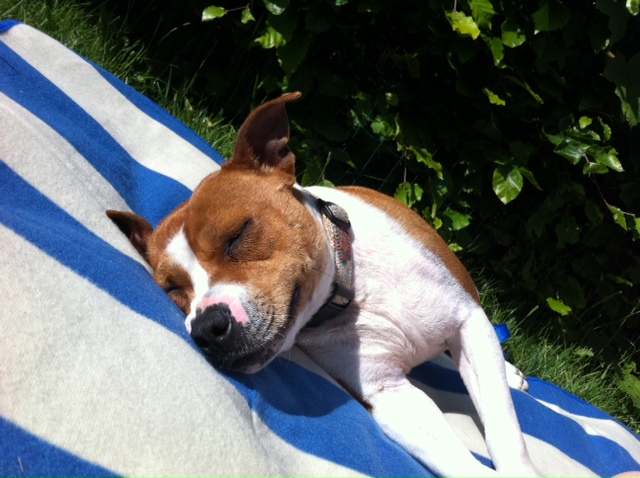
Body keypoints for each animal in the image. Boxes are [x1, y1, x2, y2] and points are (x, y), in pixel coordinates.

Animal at [110, 92, 540, 478]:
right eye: (172, 289)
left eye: (238, 235)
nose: (208, 327)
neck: (353, 290)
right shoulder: (389, 394)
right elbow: (462, 464)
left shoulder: (468, 320)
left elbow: (504, 430)